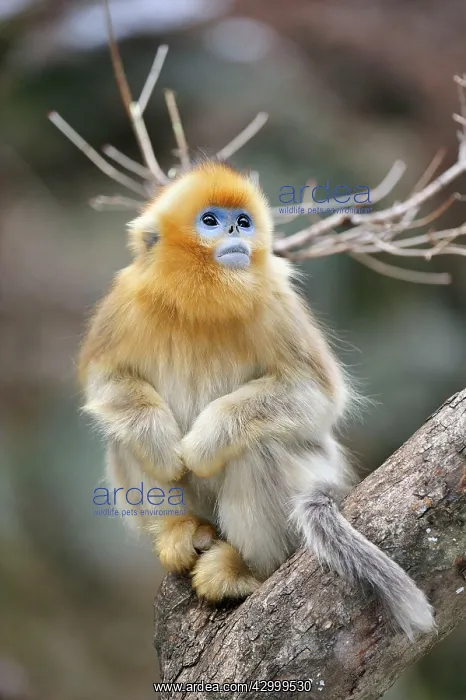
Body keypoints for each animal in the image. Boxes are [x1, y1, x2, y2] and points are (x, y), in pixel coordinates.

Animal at [79, 160, 435, 640]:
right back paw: (179, 527)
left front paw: (202, 443)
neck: (202, 301)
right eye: (211, 221)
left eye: (244, 222)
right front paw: (165, 447)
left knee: (258, 446)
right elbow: (105, 380)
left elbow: (315, 393)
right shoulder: (125, 300)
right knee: (123, 432)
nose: (235, 232)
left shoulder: (277, 303)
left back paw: (246, 570)